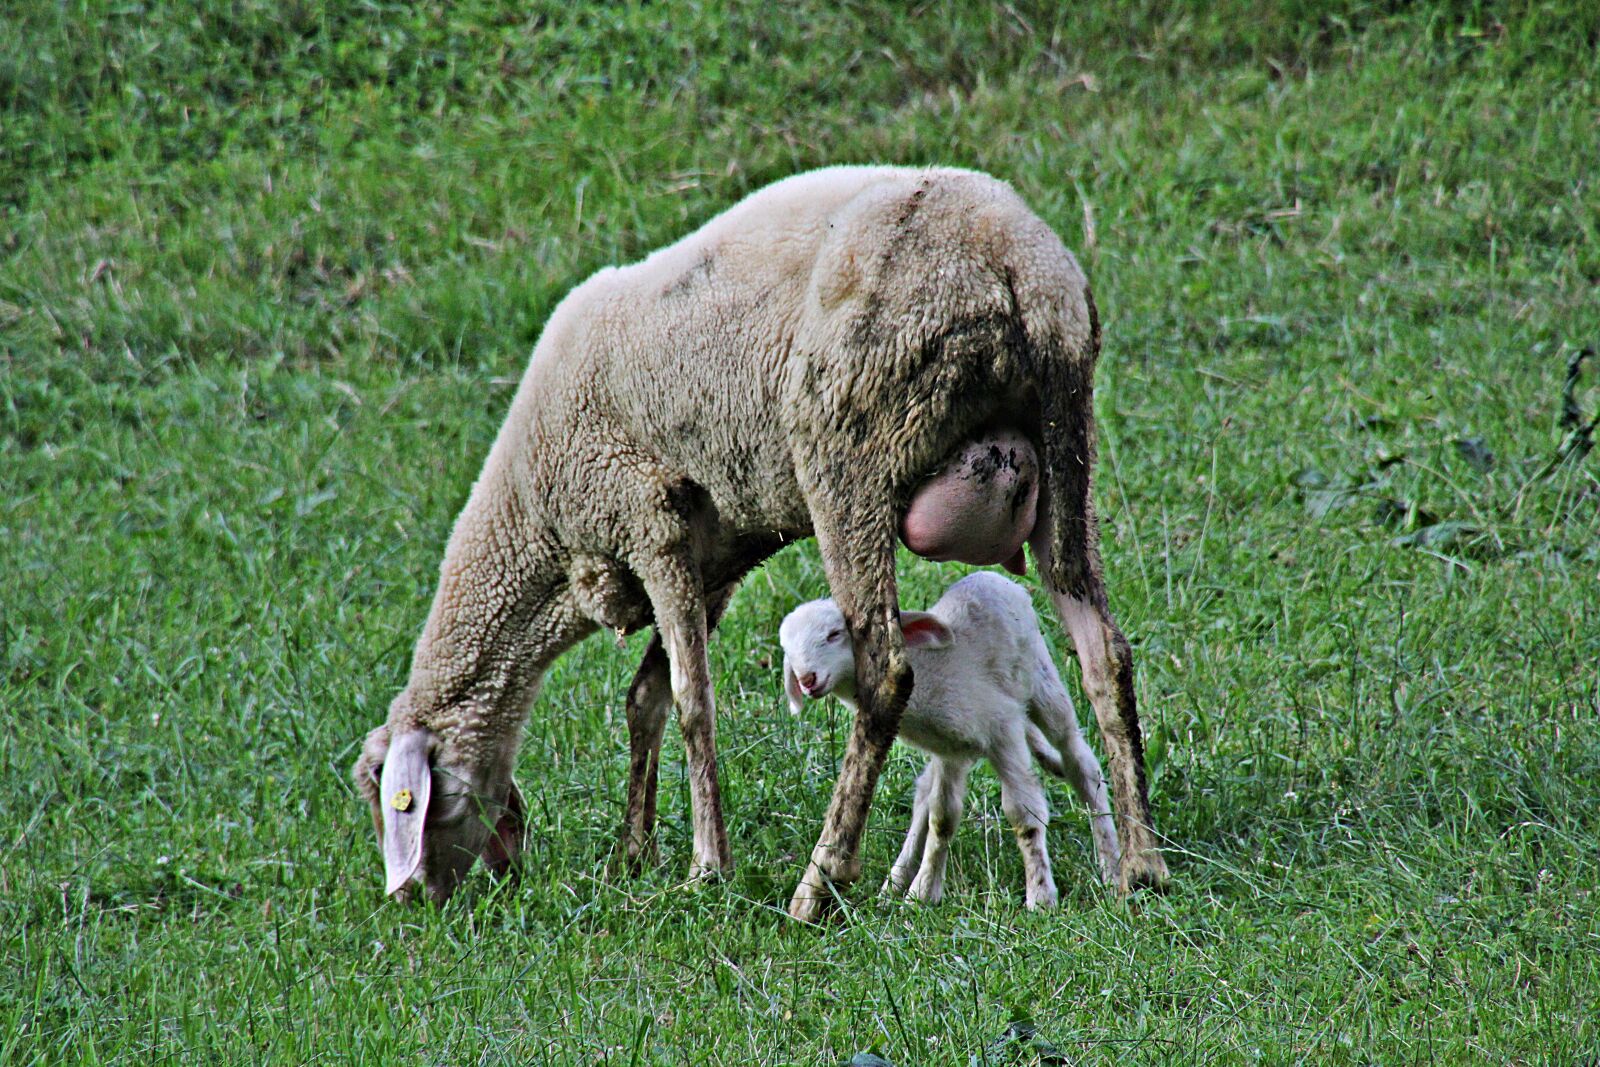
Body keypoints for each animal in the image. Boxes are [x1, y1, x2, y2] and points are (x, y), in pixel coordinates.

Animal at [779, 572, 1121, 909]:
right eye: (788, 652)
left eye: (834, 634)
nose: (806, 679)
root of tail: (995, 577)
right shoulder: (948, 750)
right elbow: (941, 817)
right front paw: (922, 892)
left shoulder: (1003, 727)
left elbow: (1024, 813)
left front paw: (1041, 897)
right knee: (923, 794)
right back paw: (895, 882)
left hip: (1040, 677)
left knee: (1080, 761)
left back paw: (1111, 867)